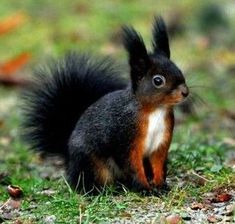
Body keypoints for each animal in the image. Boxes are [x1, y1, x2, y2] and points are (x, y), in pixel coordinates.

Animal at [21, 16, 189, 193]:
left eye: (178, 69)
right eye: (158, 80)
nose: (185, 92)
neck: (156, 110)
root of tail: (69, 158)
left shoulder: (162, 141)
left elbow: (158, 163)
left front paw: (160, 185)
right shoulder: (126, 137)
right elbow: (132, 165)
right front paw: (144, 188)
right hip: (93, 164)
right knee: (89, 182)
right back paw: (101, 190)